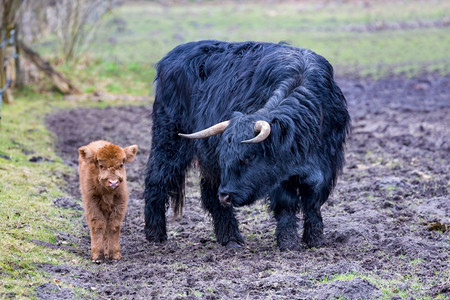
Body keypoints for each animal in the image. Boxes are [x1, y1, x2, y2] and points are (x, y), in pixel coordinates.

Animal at [146, 40, 350, 251]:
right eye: (227, 157)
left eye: (249, 157)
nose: (226, 196)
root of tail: (172, 55)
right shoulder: (280, 176)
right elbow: (286, 204)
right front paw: (289, 243)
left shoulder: (325, 166)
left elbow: (313, 203)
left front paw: (314, 240)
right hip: (169, 139)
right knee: (157, 178)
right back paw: (156, 233)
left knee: (210, 193)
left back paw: (229, 237)